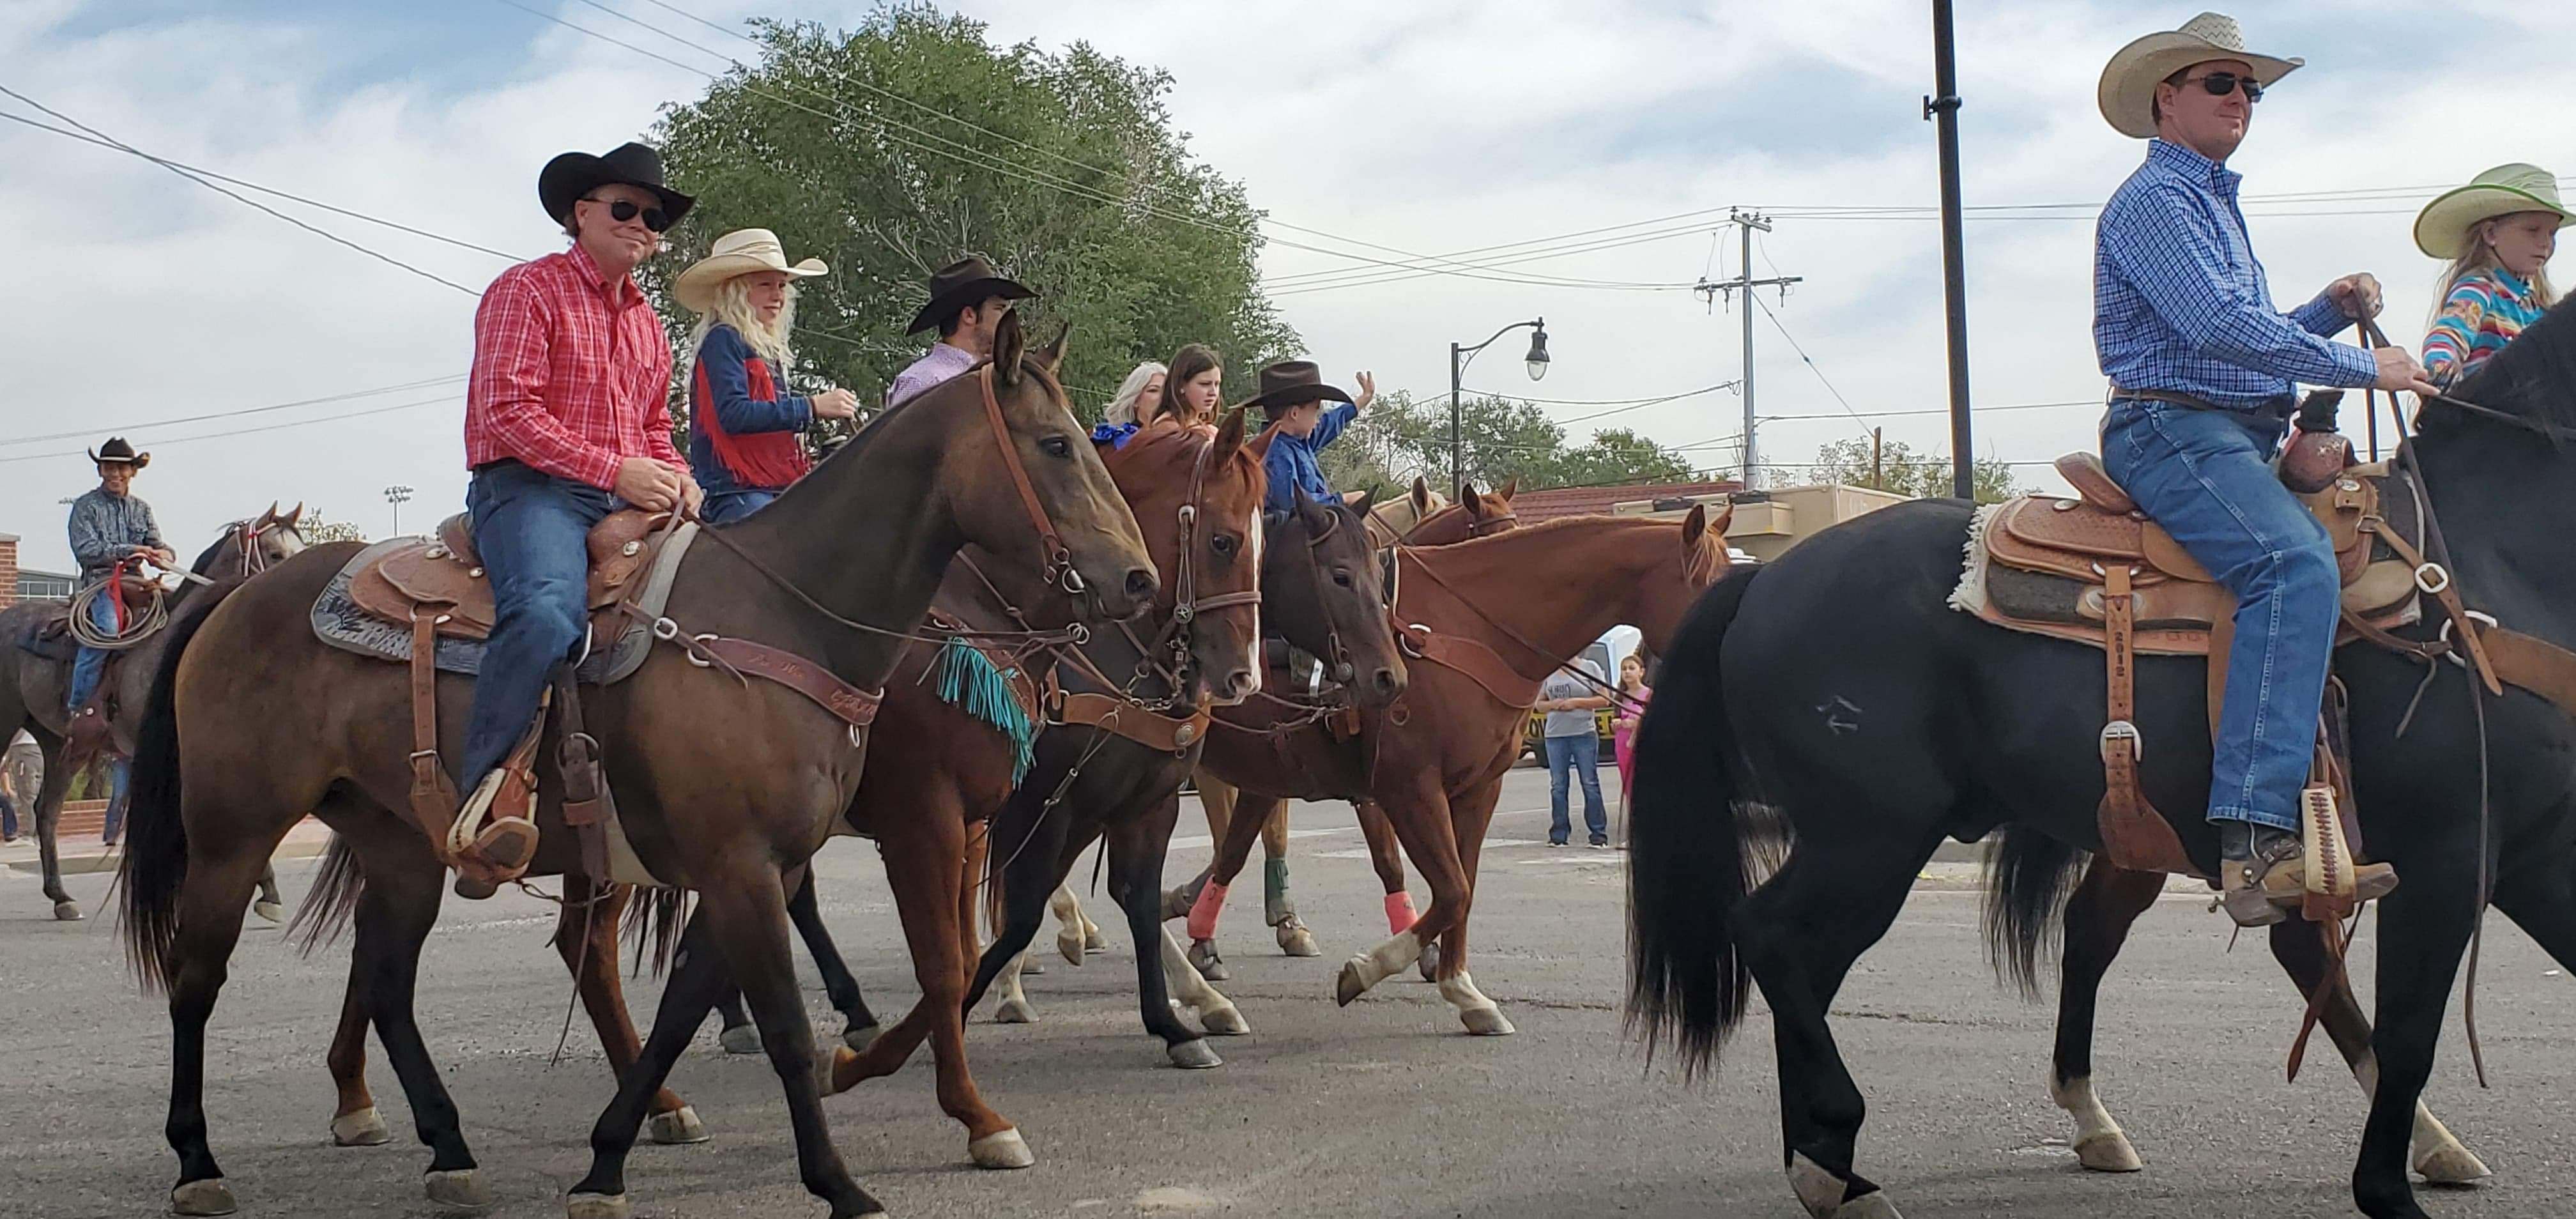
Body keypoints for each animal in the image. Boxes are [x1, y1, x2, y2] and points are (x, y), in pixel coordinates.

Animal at [116, 313, 1154, 1216]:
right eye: (1057, 445)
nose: (1139, 580)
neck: (788, 615)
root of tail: (234, 600)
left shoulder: (762, 863)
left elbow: (687, 1007)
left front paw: (608, 1159)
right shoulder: (766, 858)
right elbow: (797, 1018)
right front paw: (846, 1179)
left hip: (402, 847)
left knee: (390, 981)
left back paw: (449, 1148)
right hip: (233, 836)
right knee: (199, 978)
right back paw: (199, 1164)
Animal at [1184, 507, 1731, 1031]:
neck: (1464, 633)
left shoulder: (1477, 789)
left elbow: (1462, 886)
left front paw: (1461, 987)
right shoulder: (1407, 790)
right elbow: (1449, 890)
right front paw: (1369, 969)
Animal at [1638, 296, 2576, 1216]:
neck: (2487, 559)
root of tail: (1762, 579)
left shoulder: (2533, 851)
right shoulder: (2447, 854)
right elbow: (2412, 1031)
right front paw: (2385, 1190)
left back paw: (1837, 1162)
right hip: (1868, 836)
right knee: (1775, 939)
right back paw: (1836, 1161)